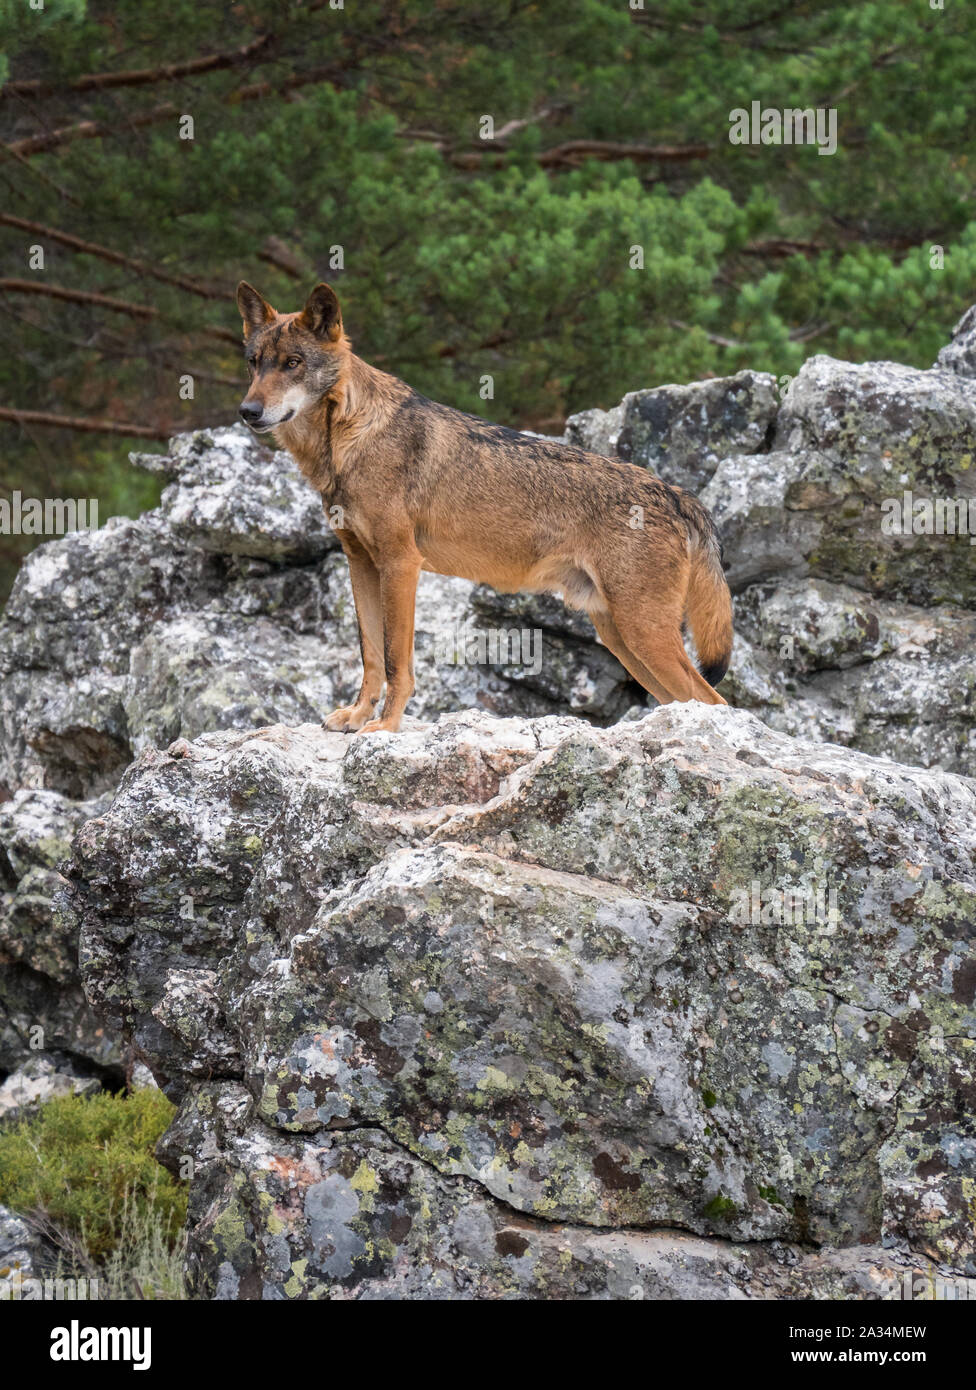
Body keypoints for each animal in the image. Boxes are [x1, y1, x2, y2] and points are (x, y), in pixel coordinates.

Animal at [236, 278, 728, 733]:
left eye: (293, 363)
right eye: (254, 363)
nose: (248, 411)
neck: (345, 441)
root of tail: (678, 494)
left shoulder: (401, 564)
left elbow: (397, 661)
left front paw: (386, 727)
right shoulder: (360, 562)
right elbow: (371, 656)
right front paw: (357, 716)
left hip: (643, 635)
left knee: (715, 701)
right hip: (621, 638)